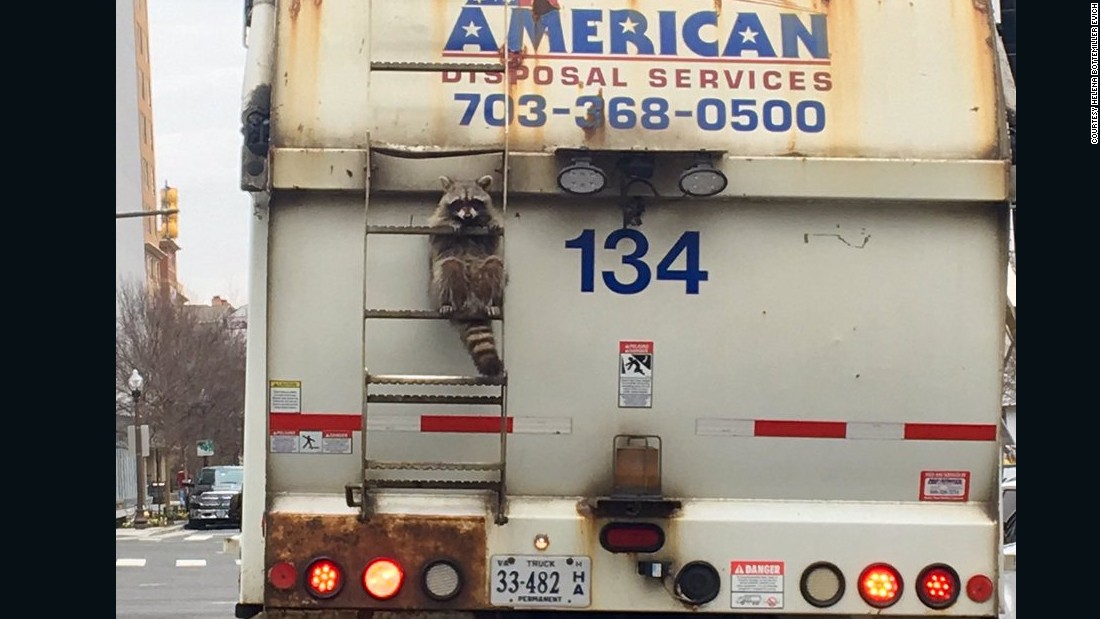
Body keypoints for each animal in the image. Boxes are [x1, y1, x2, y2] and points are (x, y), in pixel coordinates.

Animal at [428, 175, 505, 376]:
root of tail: (471, 304)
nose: (468, 216)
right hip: (438, 288)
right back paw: (448, 303)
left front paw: (491, 224)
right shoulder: (437, 219)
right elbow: (436, 233)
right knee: (449, 266)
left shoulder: (490, 219)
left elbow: (493, 241)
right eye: (459, 202)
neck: (469, 224)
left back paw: (490, 303)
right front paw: (451, 223)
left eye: (474, 202)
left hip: (481, 283)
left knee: (494, 264)